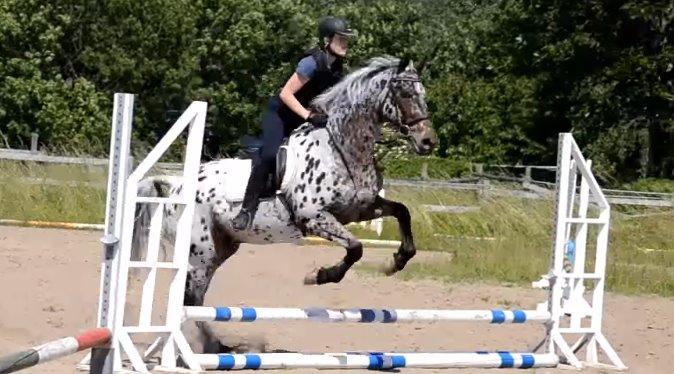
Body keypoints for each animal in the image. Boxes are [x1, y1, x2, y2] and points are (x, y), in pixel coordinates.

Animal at [131, 56, 436, 354]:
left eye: (423, 94)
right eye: (405, 93)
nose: (428, 141)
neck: (341, 150)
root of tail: (176, 185)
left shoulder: (359, 209)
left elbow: (402, 212)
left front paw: (396, 262)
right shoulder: (313, 217)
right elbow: (355, 248)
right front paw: (319, 276)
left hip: (221, 249)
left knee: (194, 299)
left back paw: (210, 346)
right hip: (201, 253)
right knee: (190, 298)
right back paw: (199, 348)